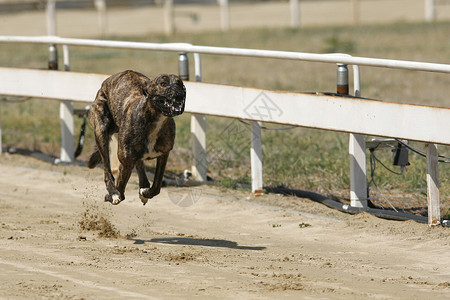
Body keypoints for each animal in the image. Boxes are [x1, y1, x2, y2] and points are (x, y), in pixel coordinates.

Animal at [87, 70, 185, 205]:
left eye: (180, 83)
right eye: (163, 83)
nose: (179, 93)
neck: (155, 120)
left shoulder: (164, 155)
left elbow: (156, 186)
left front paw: (145, 192)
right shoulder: (126, 162)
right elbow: (121, 191)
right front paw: (112, 195)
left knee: (139, 165)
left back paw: (143, 186)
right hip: (101, 129)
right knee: (107, 168)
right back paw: (112, 192)